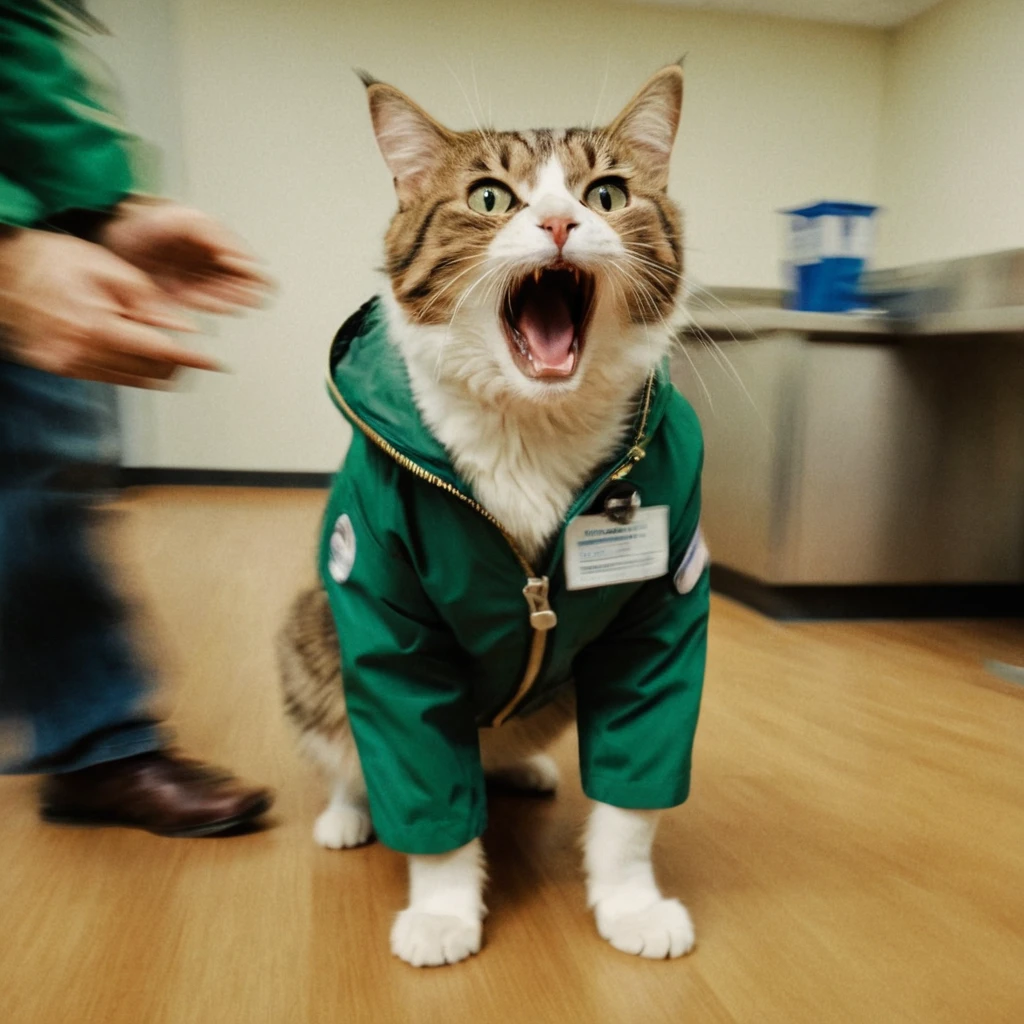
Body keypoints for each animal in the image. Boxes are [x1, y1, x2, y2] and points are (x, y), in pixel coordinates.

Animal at [280, 64, 712, 966]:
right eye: (489, 198)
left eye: (608, 194)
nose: (558, 221)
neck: (530, 428)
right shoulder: (380, 604)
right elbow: (417, 763)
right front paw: (444, 911)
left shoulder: (665, 609)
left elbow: (635, 783)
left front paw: (631, 903)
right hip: (308, 635)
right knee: (348, 744)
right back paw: (347, 814)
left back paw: (519, 769)